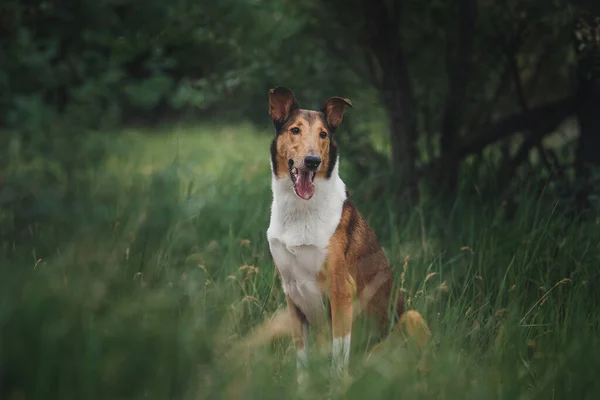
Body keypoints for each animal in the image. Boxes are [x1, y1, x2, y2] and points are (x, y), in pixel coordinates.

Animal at [264, 87, 428, 384]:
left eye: (323, 134)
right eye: (295, 130)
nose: (312, 161)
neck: (300, 211)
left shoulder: (341, 291)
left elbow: (339, 357)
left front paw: (338, 388)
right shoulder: (293, 296)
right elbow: (302, 361)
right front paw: (303, 389)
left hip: (412, 317)